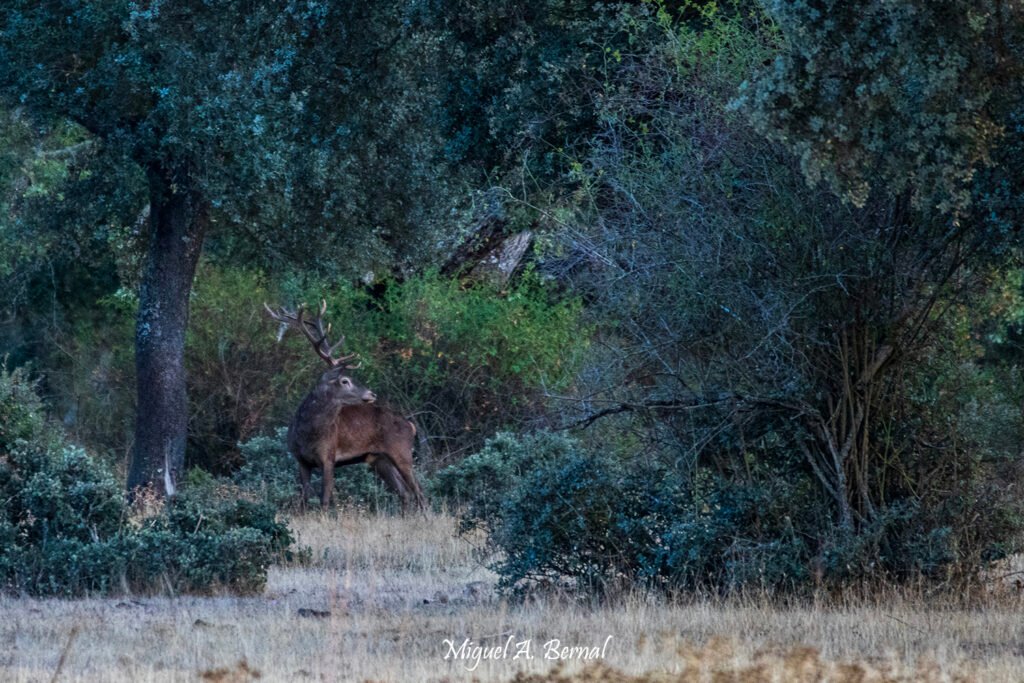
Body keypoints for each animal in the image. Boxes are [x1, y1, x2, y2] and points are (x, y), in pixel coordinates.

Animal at [264, 300, 428, 514]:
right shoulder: (300, 460)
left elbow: (325, 498)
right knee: (405, 492)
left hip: (402, 452)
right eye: (345, 381)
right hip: (379, 460)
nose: (372, 394)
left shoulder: (328, 456)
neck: (306, 433)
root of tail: (410, 425)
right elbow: (305, 498)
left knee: (420, 492)